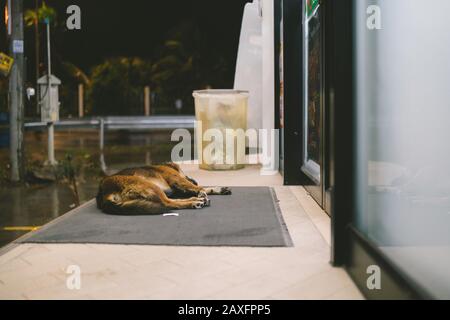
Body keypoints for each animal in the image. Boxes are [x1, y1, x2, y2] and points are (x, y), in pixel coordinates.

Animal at [94, 162, 229, 215]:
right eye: (185, 174)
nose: (194, 179)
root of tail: (103, 192)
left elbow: (199, 188)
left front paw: (214, 190)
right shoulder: (177, 180)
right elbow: (198, 187)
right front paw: (205, 190)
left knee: (172, 201)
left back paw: (195, 200)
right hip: (150, 186)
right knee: (168, 203)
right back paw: (194, 202)